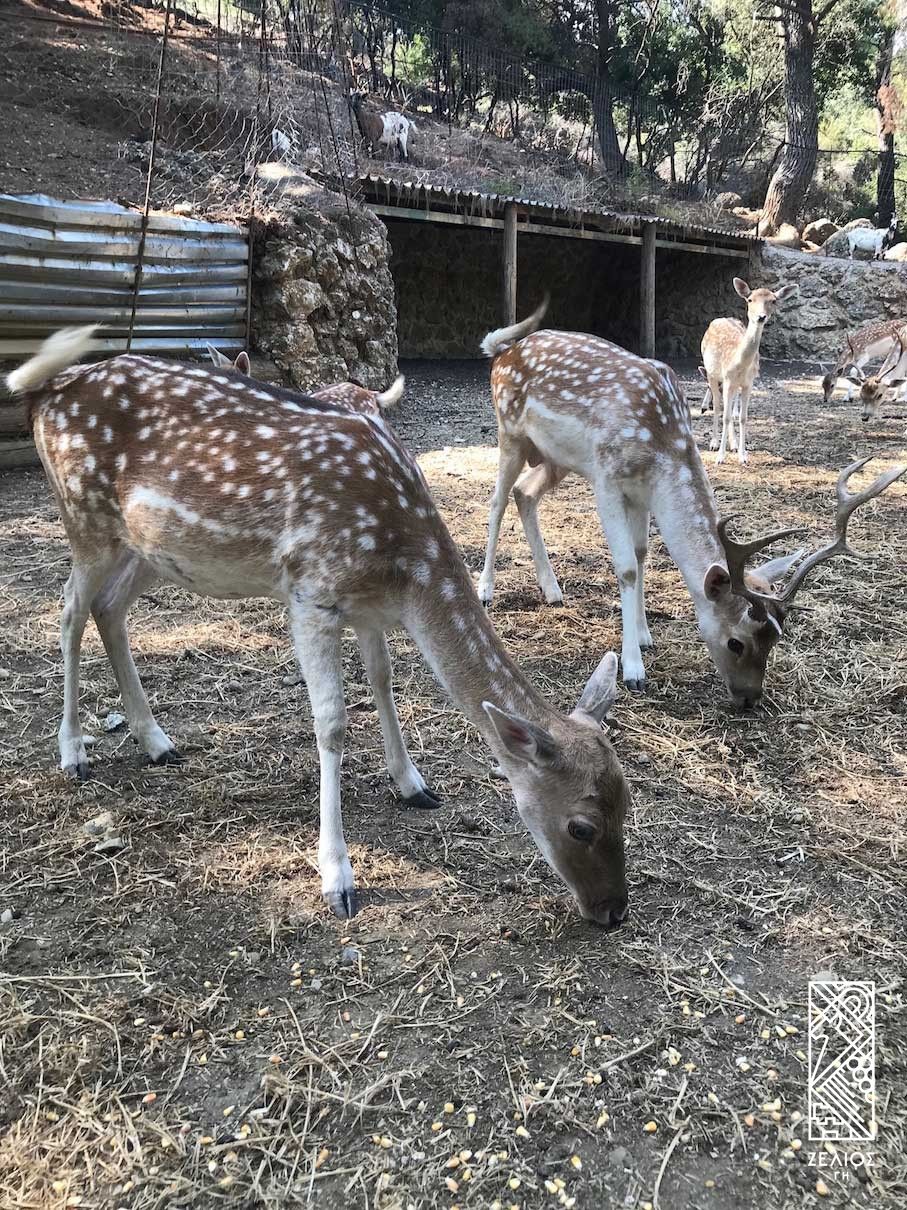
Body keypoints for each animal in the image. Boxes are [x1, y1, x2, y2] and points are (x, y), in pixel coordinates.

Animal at [478, 300, 904, 701]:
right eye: (736, 642)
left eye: (777, 638)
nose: (749, 698)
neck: (662, 449)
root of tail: (502, 352)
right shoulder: (607, 478)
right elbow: (626, 568)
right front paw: (633, 670)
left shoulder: (641, 493)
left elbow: (642, 555)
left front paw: (645, 634)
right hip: (510, 432)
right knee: (497, 501)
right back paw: (486, 591)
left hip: (556, 458)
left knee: (525, 493)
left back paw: (552, 590)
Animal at [701, 277, 798, 462]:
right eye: (750, 300)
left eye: (773, 301)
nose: (761, 317)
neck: (740, 364)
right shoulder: (728, 379)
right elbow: (725, 416)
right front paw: (720, 457)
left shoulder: (748, 383)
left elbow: (743, 417)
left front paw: (743, 455)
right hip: (711, 374)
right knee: (717, 406)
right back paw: (714, 443)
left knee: (731, 408)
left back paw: (733, 444)